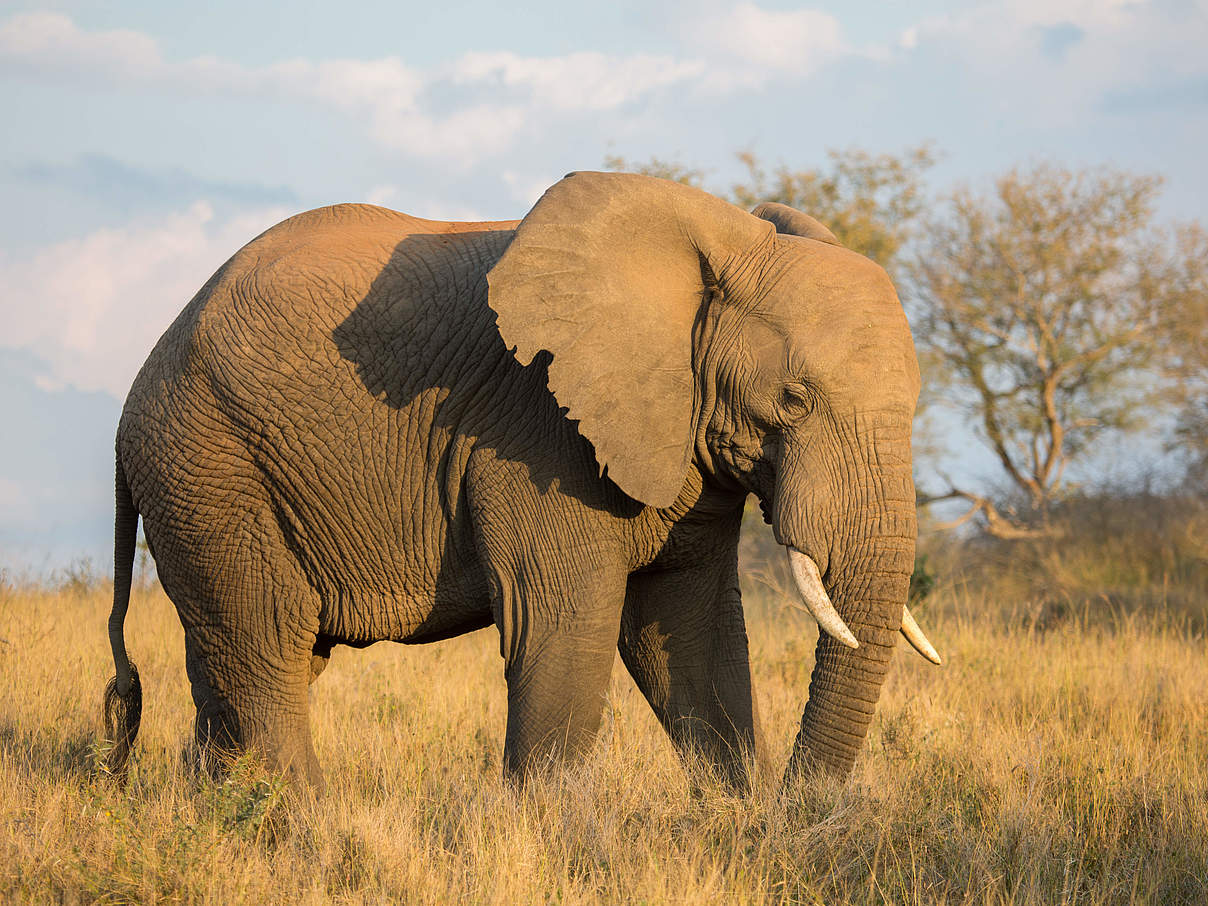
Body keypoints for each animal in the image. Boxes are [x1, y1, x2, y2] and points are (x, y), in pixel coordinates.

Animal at [103, 171, 937, 792]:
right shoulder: (537, 432)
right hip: (210, 466)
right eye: (793, 400)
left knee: (242, 663)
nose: (799, 802)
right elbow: (561, 624)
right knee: (267, 645)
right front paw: (562, 844)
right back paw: (303, 826)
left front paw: (744, 826)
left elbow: (691, 633)